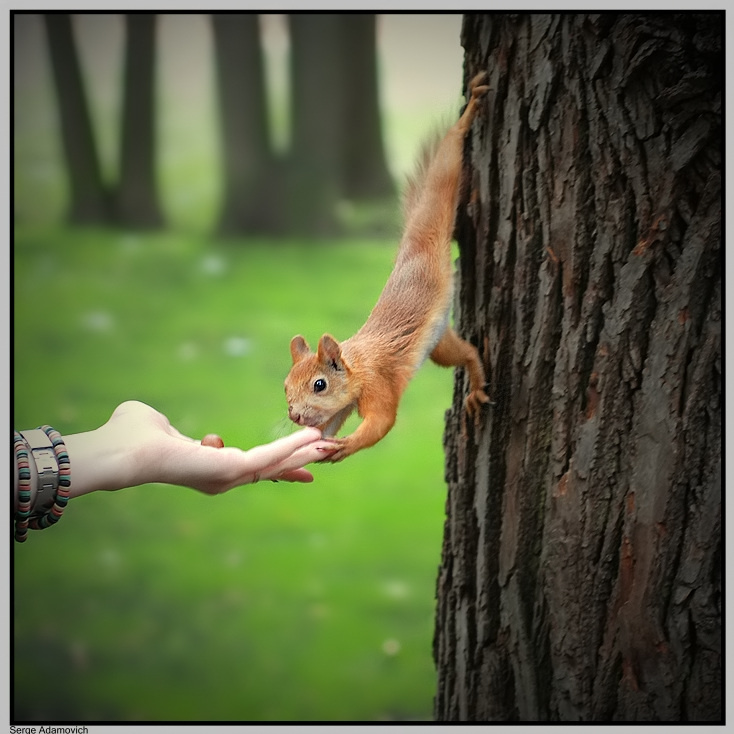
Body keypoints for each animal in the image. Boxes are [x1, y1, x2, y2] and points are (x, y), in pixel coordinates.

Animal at [284, 71, 491, 462]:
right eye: (286, 385)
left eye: (320, 384)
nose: (294, 415)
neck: (355, 366)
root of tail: (416, 245)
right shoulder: (342, 406)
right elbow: (328, 425)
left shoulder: (378, 385)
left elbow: (382, 422)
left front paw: (347, 445)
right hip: (439, 344)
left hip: (442, 189)